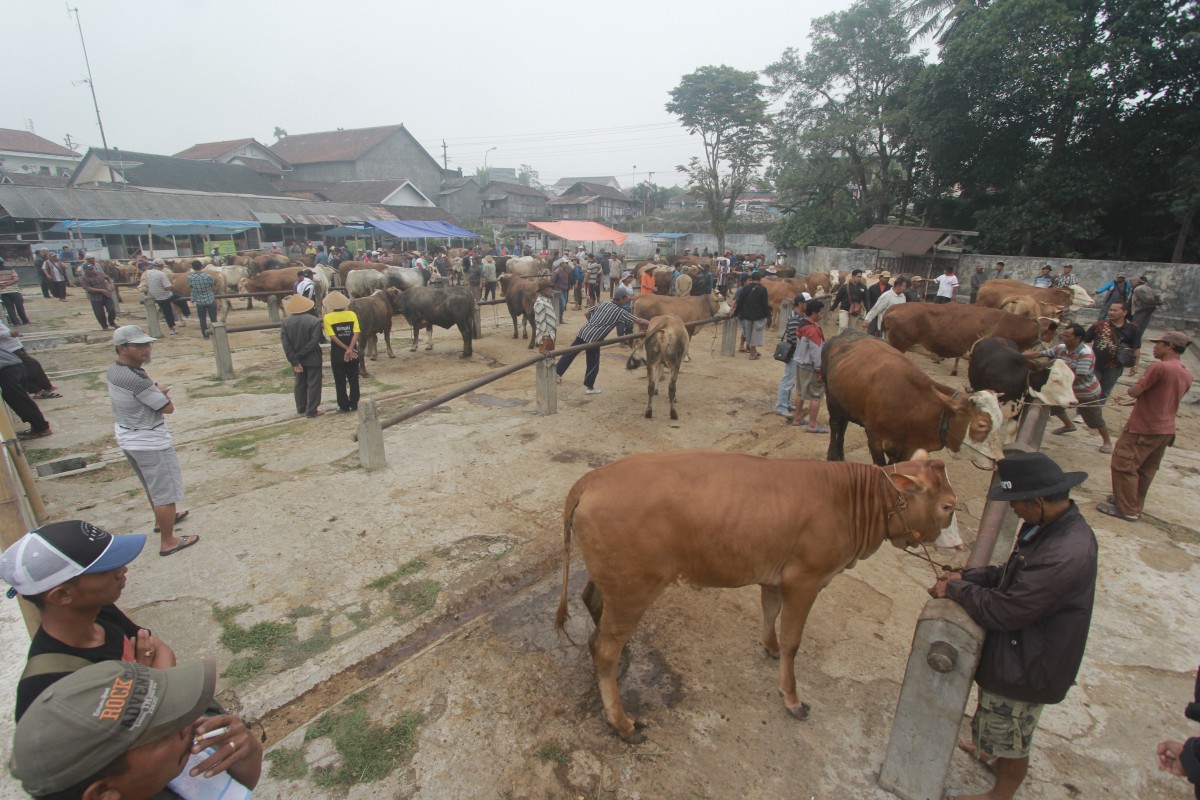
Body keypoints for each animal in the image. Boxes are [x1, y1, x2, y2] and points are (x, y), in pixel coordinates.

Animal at [556, 448, 960, 743]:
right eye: (948, 506)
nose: (954, 546)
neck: (851, 500)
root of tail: (591, 480)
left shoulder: (775, 576)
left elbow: (770, 613)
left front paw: (770, 647)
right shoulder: (805, 579)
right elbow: (793, 639)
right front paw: (792, 698)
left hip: (614, 584)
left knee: (593, 606)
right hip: (633, 590)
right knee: (604, 648)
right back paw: (621, 722)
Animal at [825, 331, 1003, 470]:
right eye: (981, 425)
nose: (998, 460)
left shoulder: (908, 448)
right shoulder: (875, 439)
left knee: (843, 426)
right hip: (831, 400)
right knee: (835, 426)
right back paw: (832, 455)